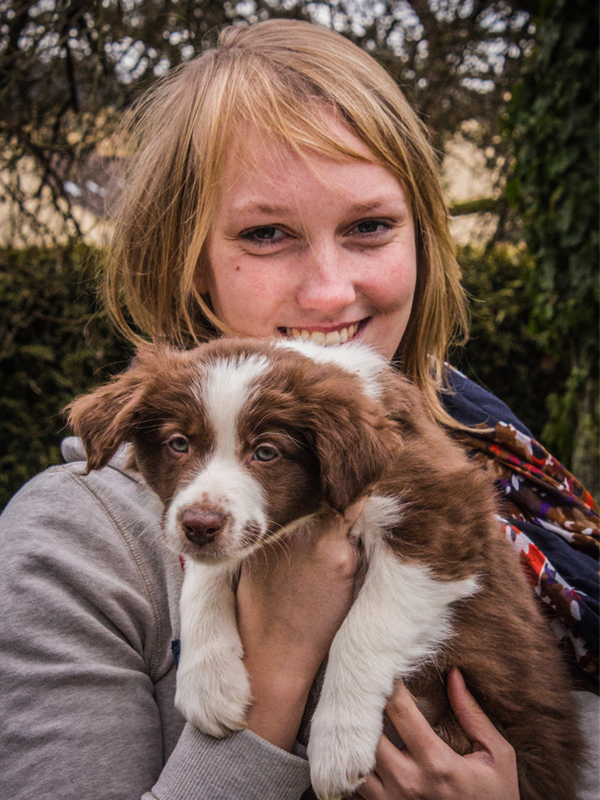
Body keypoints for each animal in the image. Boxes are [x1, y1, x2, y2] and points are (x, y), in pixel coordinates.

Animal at [67, 338, 580, 800]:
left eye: (266, 452)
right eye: (178, 444)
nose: (200, 527)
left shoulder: (442, 516)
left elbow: (362, 629)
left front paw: (339, 744)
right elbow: (203, 577)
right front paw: (209, 682)